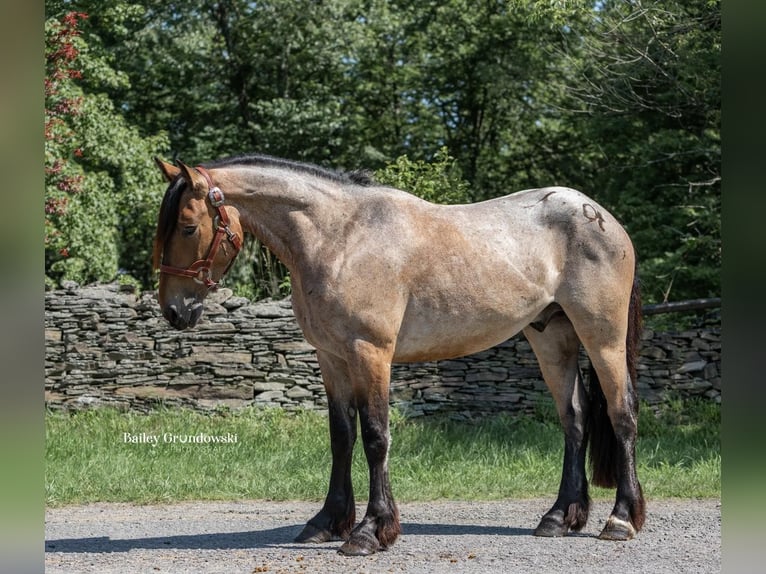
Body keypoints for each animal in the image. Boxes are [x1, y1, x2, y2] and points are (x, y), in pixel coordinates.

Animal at [153, 154, 644, 560]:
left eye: (189, 227)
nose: (175, 311)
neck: (340, 238)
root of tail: (601, 217)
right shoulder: (331, 358)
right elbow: (341, 437)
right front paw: (327, 522)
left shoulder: (370, 353)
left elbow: (375, 437)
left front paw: (371, 531)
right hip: (551, 337)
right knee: (574, 419)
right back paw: (560, 517)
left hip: (602, 337)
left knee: (621, 414)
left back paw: (621, 520)